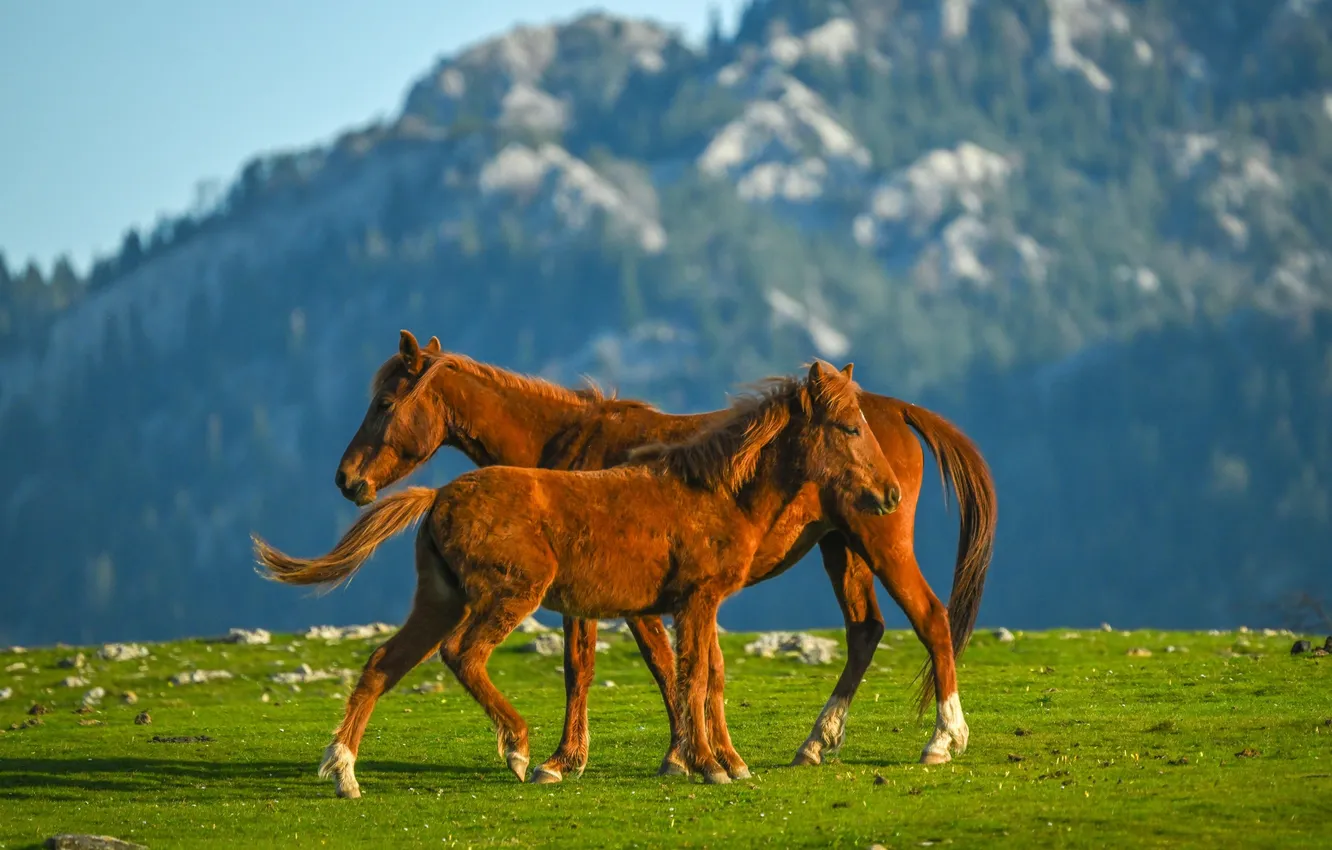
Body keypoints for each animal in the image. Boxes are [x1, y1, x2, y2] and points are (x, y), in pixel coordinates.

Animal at [334, 330, 995, 783]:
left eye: (385, 404)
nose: (347, 480)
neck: (567, 444)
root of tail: (900, 410)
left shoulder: (604, 597)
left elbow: (592, 668)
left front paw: (566, 759)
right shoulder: (643, 596)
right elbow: (679, 667)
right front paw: (689, 755)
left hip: (880, 542)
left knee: (931, 620)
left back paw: (944, 739)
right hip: (843, 550)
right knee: (865, 631)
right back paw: (815, 742)